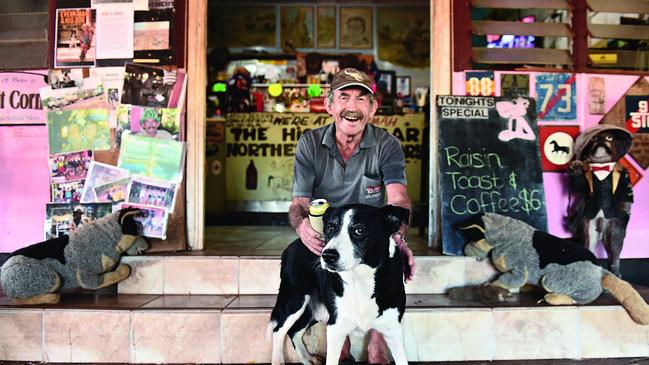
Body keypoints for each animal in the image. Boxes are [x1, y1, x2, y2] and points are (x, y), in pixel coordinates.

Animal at [270, 203, 410, 364]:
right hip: (294, 300)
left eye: (359, 230)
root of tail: (291, 245)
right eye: (330, 228)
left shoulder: (393, 330)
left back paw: (307, 359)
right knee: (278, 331)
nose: (327, 256)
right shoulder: (335, 328)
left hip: (315, 310)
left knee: (294, 331)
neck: (360, 279)